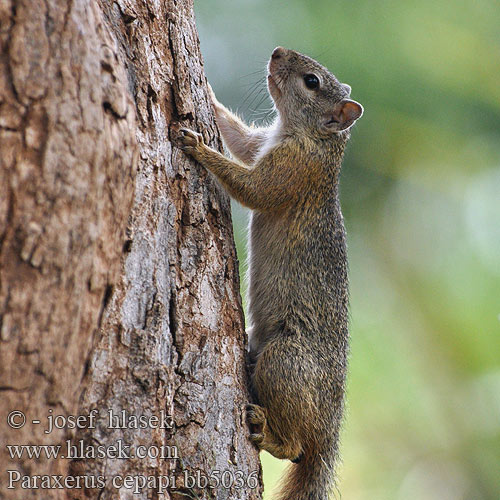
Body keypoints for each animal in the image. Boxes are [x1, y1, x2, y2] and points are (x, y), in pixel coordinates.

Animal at [180, 47, 364, 500]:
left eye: (312, 82)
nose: (277, 52)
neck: (317, 141)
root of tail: (329, 431)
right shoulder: (262, 143)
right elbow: (241, 140)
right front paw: (209, 96)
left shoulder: (294, 170)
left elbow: (253, 188)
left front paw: (197, 147)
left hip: (285, 364)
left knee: (296, 448)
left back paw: (268, 433)